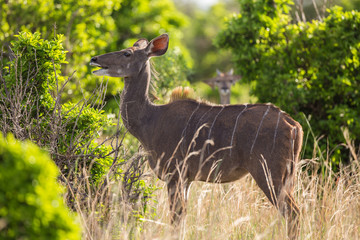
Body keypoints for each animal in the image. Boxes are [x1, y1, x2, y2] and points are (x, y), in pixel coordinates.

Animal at [90, 33, 304, 238]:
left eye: (127, 53)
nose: (94, 59)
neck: (150, 119)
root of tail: (293, 125)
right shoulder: (186, 179)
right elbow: (182, 217)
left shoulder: (175, 175)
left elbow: (176, 219)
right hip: (287, 175)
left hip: (268, 173)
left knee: (293, 212)